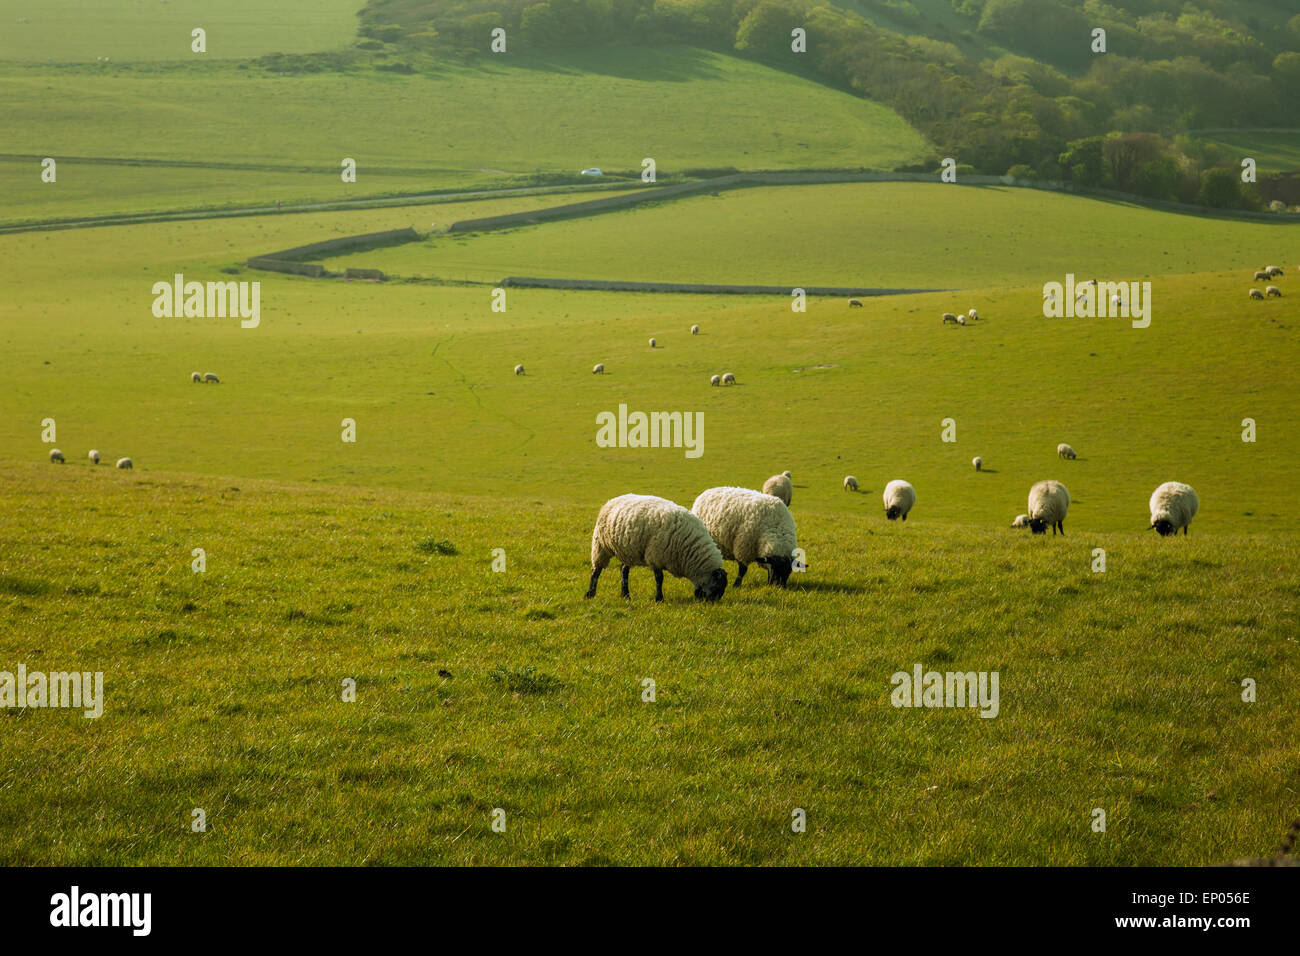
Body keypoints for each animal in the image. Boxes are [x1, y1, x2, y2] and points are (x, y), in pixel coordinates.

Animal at [585, 494, 727, 602]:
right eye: (716, 587)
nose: (711, 604)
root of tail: (613, 500)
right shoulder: (656, 556)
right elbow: (659, 579)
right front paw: (659, 599)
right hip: (601, 545)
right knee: (596, 571)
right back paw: (590, 594)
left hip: (629, 552)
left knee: (623, 570)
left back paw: (626, 595)